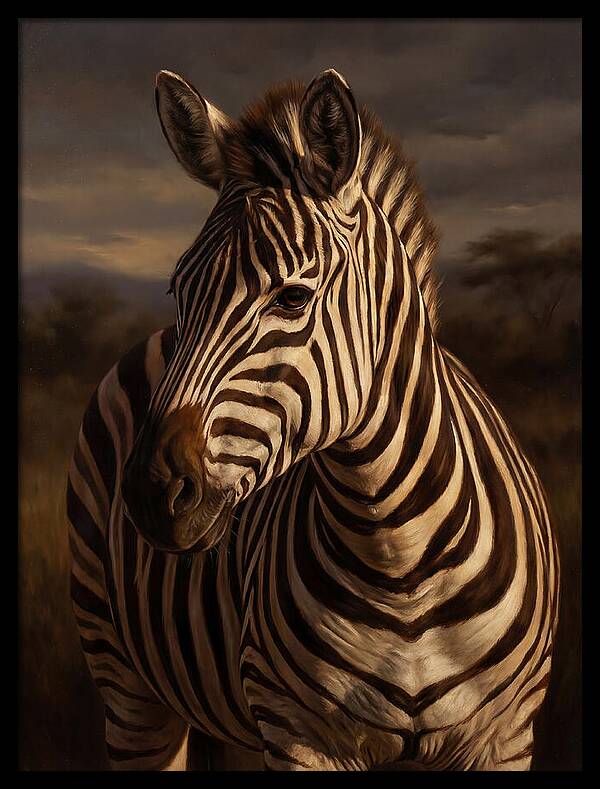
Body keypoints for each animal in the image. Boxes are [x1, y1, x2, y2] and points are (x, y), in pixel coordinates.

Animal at [67, 68, 560, 771]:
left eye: (294, 297)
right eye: (178, 290)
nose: (151, 492)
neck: (399, 560)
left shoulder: (505, 735)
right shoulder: (300, 731)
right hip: (126, 680)